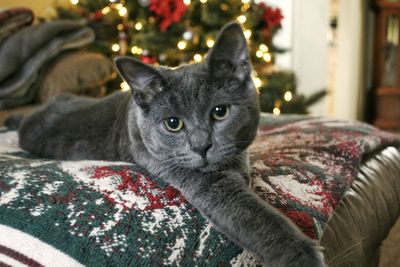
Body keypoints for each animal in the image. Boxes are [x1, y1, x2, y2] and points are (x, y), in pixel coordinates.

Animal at [18, 23, 324, 267]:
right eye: (173, 124)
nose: (201, 146)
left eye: (220, 111)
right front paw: (302, 256)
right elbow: (255, 216)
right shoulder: (204, 180)